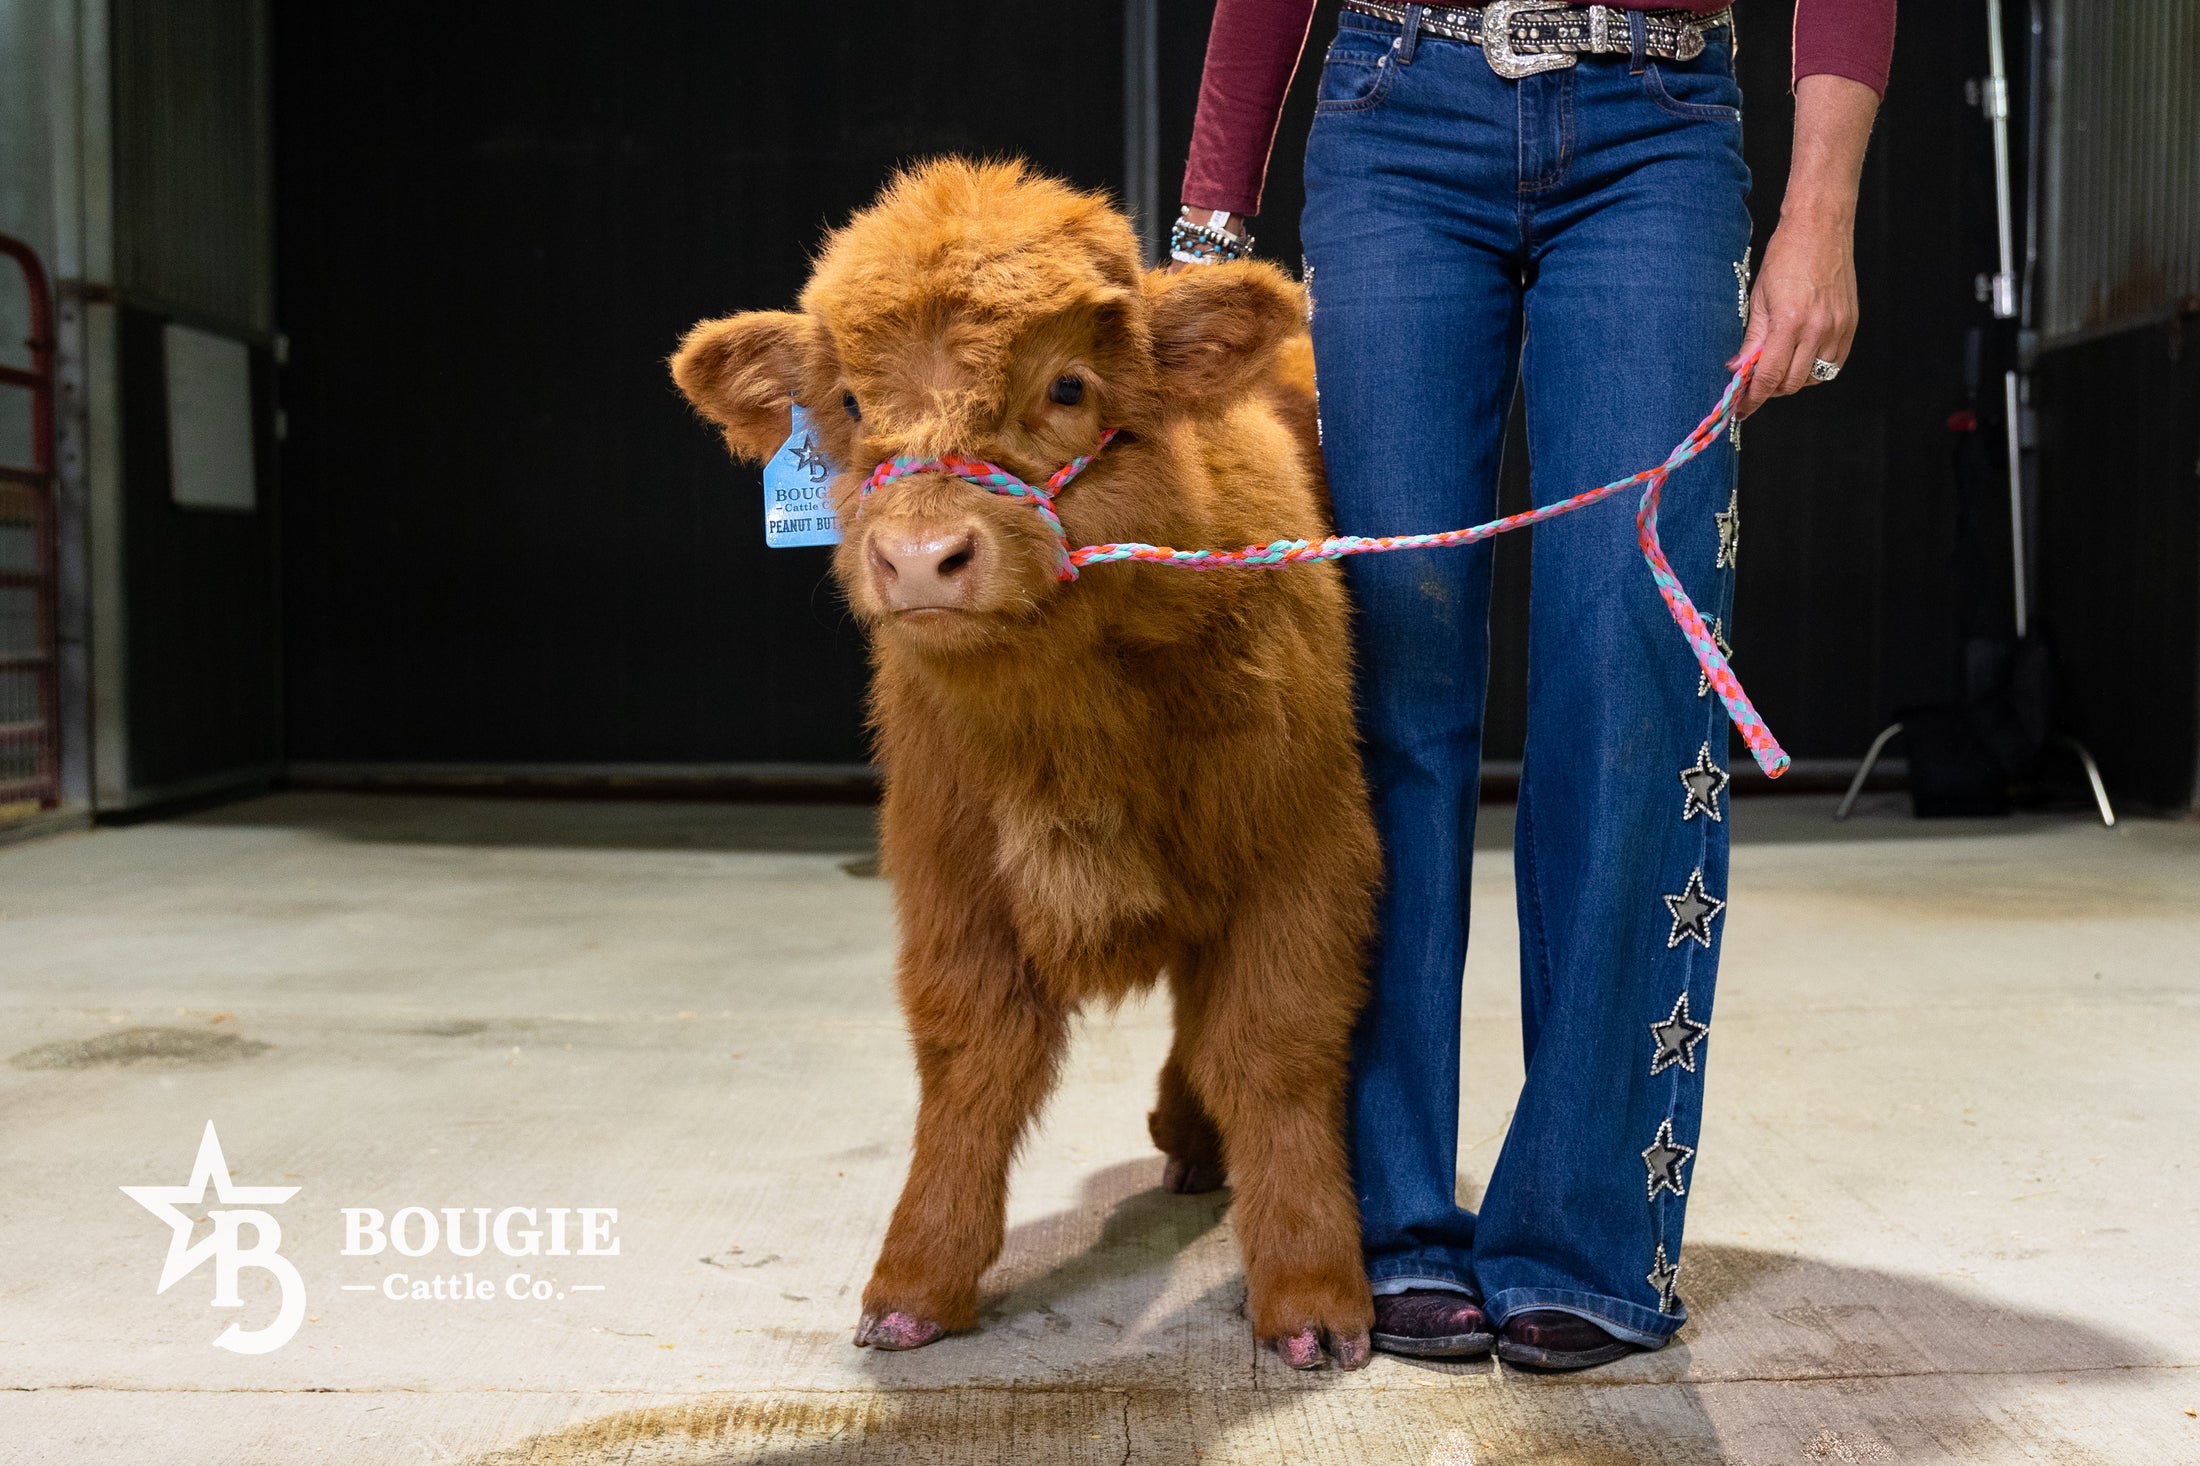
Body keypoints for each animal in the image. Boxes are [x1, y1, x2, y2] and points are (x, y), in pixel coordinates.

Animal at [671, 158, 1380, 1370]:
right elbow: (969, 1061)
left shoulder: (1302, 849)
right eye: (847, 403)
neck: (1068, 723)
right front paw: (915, 1278)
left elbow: (1274, 1048)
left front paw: (1313, 1290)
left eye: (1068, 386)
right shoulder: (951, 870)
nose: (919, 557)